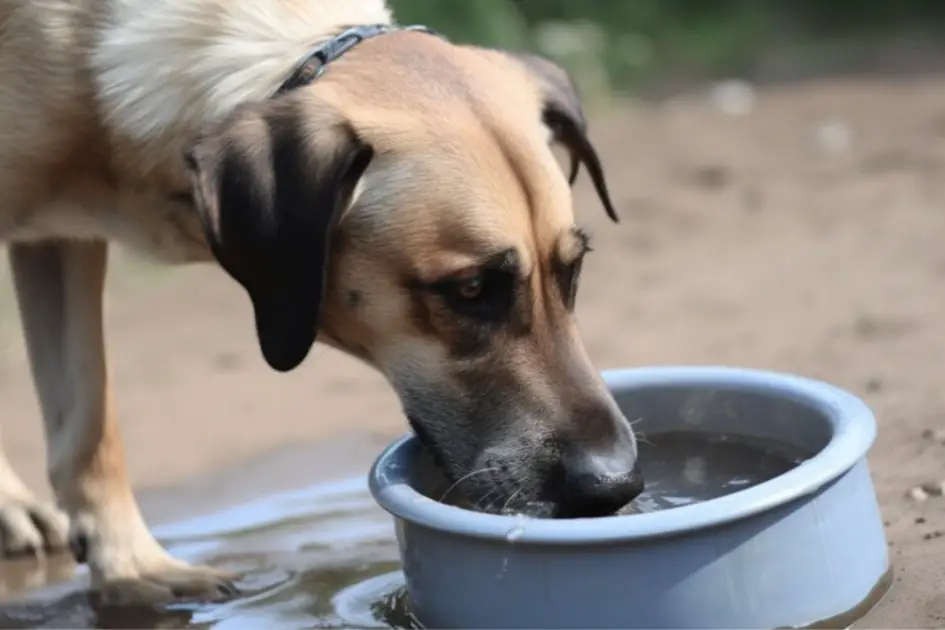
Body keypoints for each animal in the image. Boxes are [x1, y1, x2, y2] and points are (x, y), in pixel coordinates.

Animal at [0, 0, 640, 608]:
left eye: (573, 269)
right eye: (471, 289)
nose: (616, 485)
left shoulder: (62, 244)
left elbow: (87, 427)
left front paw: (131, 567)